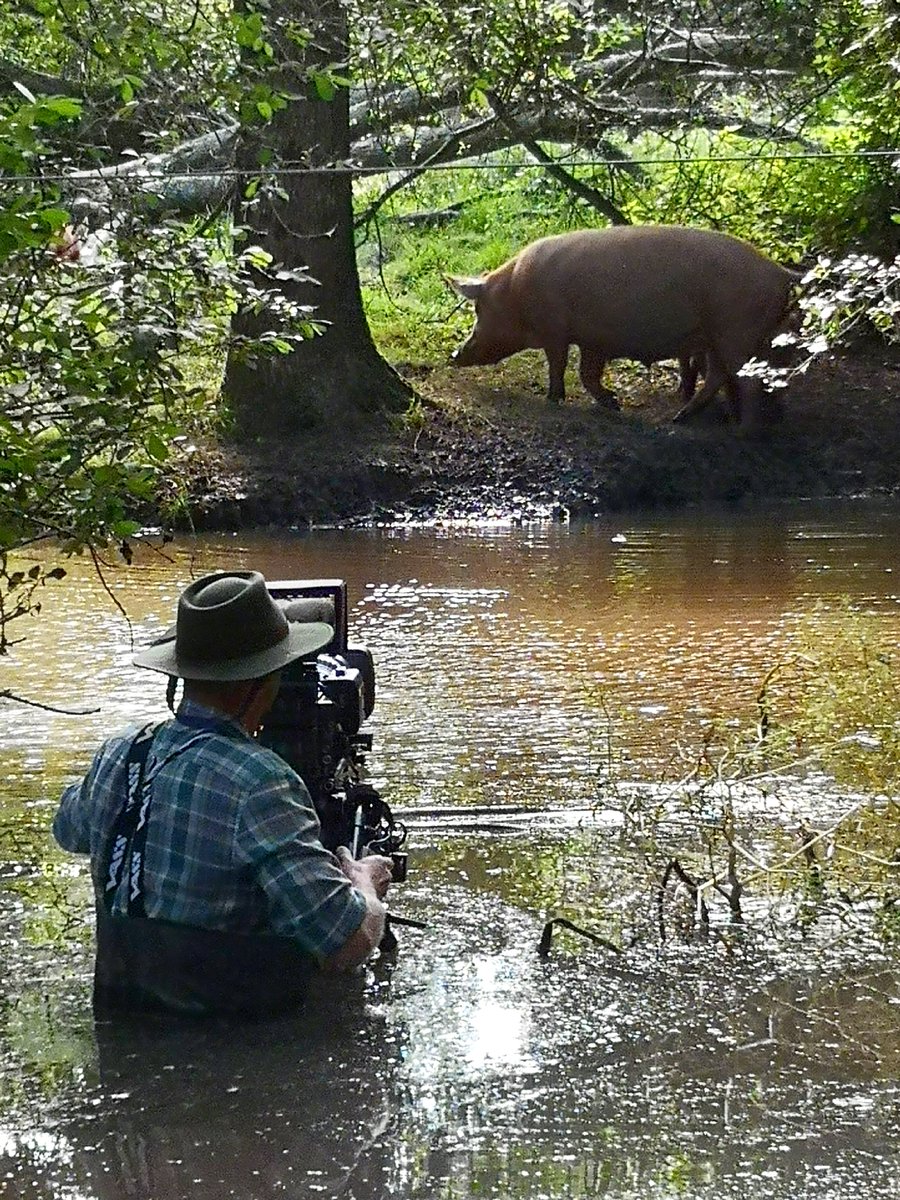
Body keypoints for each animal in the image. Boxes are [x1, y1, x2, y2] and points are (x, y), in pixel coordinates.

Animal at [446, 225, 801, 424]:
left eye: (478, 309)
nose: (453, 355)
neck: (515, 291)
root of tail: (779, 272)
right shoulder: (593, 340)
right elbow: (587, 374)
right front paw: (613, 404)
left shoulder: (555, 330)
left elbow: (558, 364)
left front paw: (553, 399)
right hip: (719, 336)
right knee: (725, 375)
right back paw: (684, 418)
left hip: (735, 331)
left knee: (744, 379)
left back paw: (740, 429)